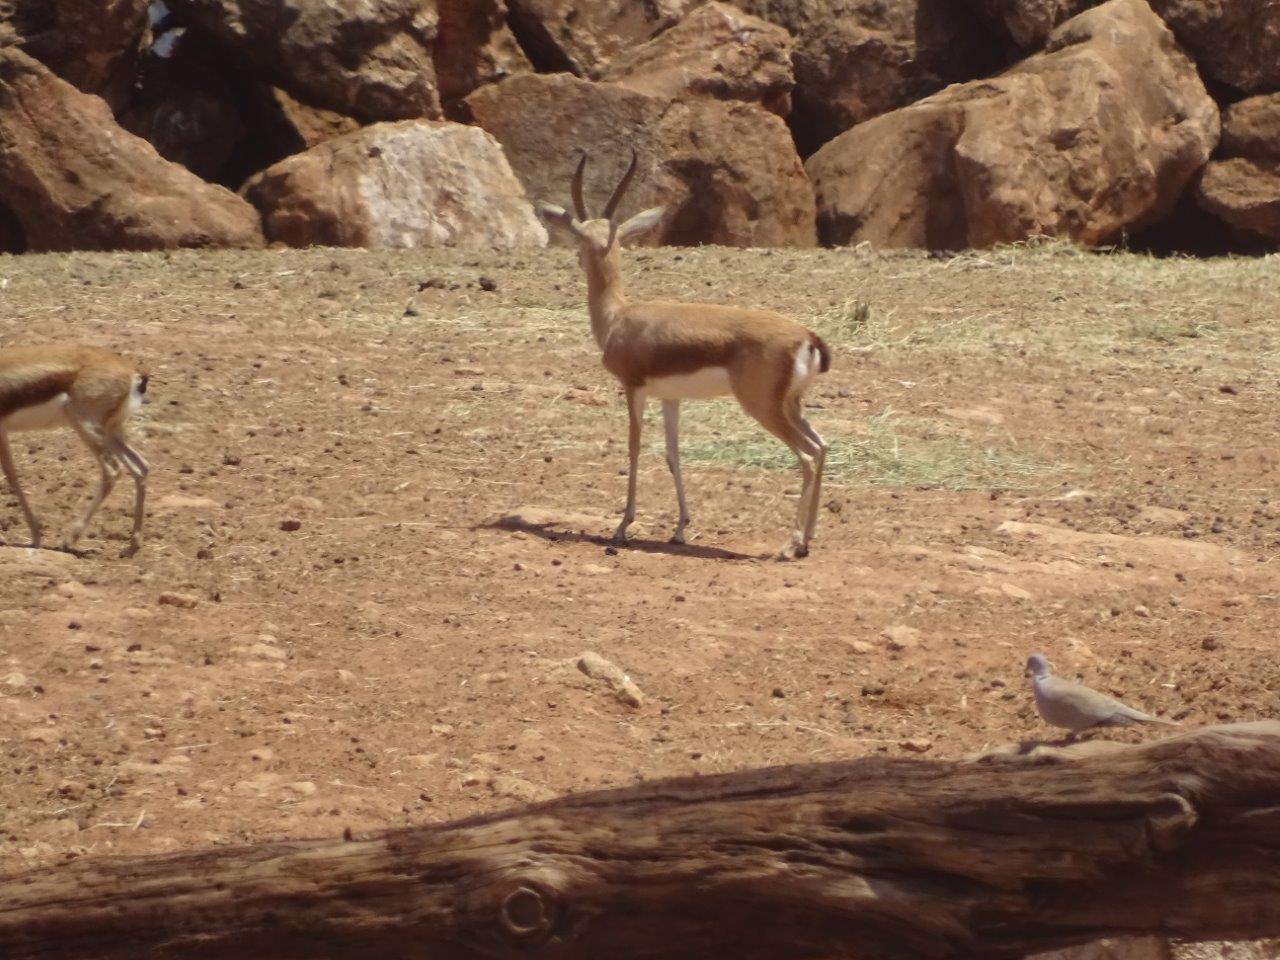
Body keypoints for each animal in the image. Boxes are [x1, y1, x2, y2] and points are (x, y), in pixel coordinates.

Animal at [0, 344, 149, 556]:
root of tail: (133, 372)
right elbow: (11, 474)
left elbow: (10, 475)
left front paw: (35, 537)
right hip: (111, 431)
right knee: (141, 467)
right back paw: (132, 546)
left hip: (85, 425)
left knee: (112, 470)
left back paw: (70, 539)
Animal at [535, 151, 831, 560]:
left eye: (579, 237)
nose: (578, 261)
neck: (618, 317)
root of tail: (806, 336)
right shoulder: (670, 398)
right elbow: (673, 454)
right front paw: (679, 529)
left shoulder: (634, 387)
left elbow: (635, 448)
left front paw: (622, 527)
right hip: (790, 405)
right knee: (822, 446)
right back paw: (809, 538)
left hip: (763, 407)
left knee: (806, 456)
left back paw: (790, 545)